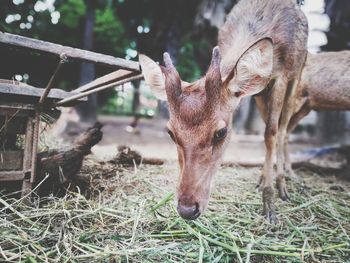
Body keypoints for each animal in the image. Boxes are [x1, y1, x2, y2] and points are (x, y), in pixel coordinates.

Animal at [138, 0, 308, 224]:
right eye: (171, 132)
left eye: (221, 132)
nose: (187, 209)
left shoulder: (283, 75)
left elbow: (272, 132)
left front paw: (271, 202)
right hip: (260, 94)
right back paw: (262, 178)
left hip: (297, 76)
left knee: (284, 128)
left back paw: (284, 180)